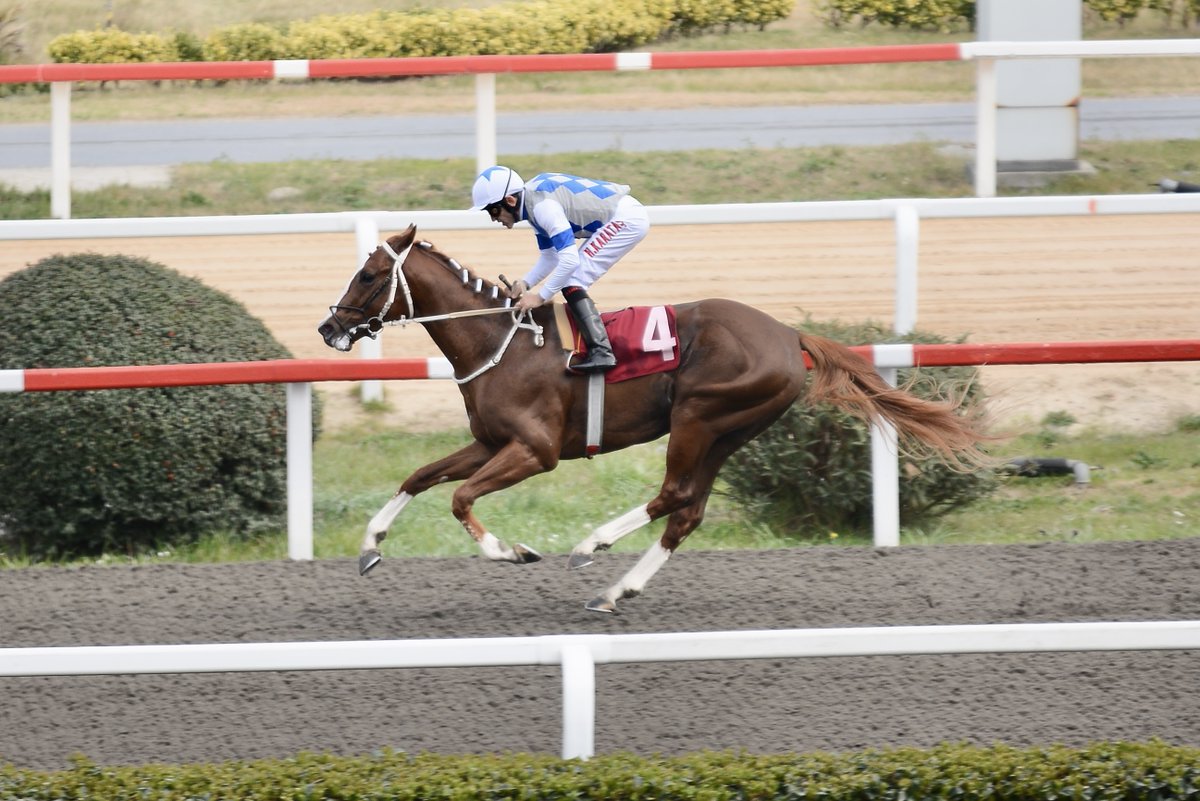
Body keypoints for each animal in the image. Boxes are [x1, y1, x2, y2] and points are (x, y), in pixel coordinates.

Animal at [314, 225, 988, 613]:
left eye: (370, 274)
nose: (328, 328)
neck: (502, 342)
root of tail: (787, 333)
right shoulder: (490, 443)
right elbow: (419, 477)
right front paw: (370, 547)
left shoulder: (534, 451)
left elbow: (459, 499)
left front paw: (513, 552)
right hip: (730, 431)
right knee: (688, 510)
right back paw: (619, 589)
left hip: (698, 416)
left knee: (673, 495)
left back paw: (591, 547)